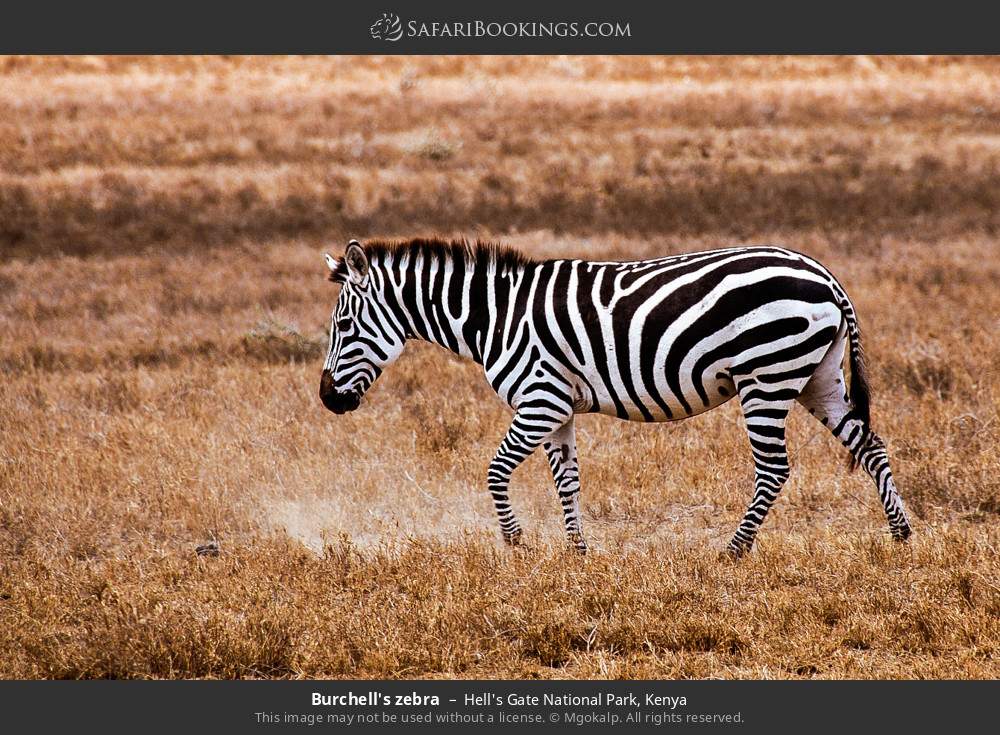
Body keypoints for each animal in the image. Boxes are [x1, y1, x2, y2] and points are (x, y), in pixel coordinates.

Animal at [319, 238, 912, 556]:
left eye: (344, 326)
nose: (327, 401)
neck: (495, 317)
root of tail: (825, 276)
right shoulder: (557, 407)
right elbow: (567, 480)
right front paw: (578, 552)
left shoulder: (538, 400)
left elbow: (494, 471)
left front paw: (516, 543)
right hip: (818, 378)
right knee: (871, 446)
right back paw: (901, 536)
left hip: (766, 377)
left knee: (774, 469)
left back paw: (733, 551)